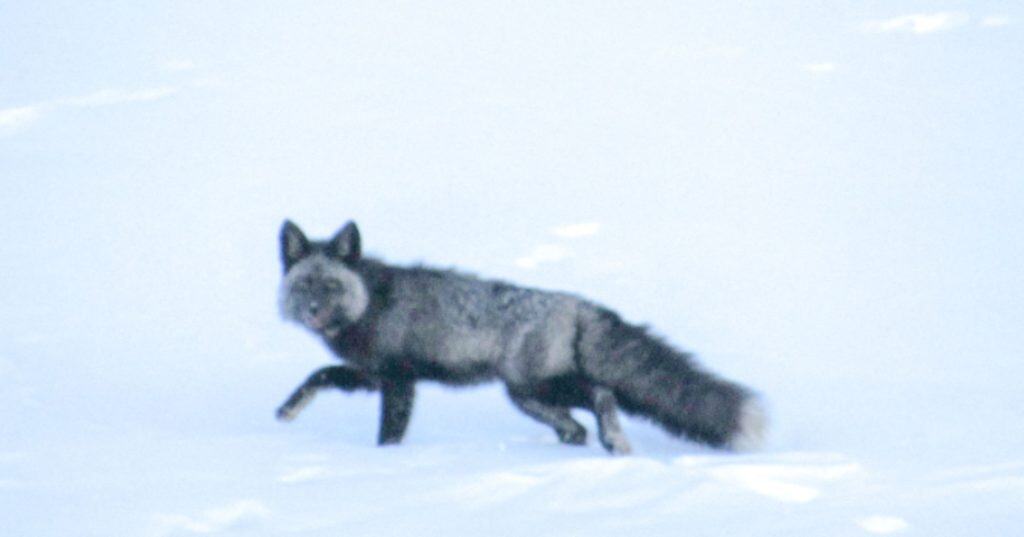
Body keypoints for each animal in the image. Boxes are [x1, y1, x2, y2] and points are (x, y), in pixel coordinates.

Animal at [275, 220, 766, 454]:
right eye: (304, 285)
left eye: (331, 286)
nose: (313, 311)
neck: (369, 303)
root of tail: (576, 304)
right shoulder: (371, 375)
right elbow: (320, 374)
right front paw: (287, 410)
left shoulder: (398, 381)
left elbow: (389, 431)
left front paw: (386, 462)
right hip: (527, 396)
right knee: (576, 426)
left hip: (536, 386)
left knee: (601, 395)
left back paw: (614, 441)